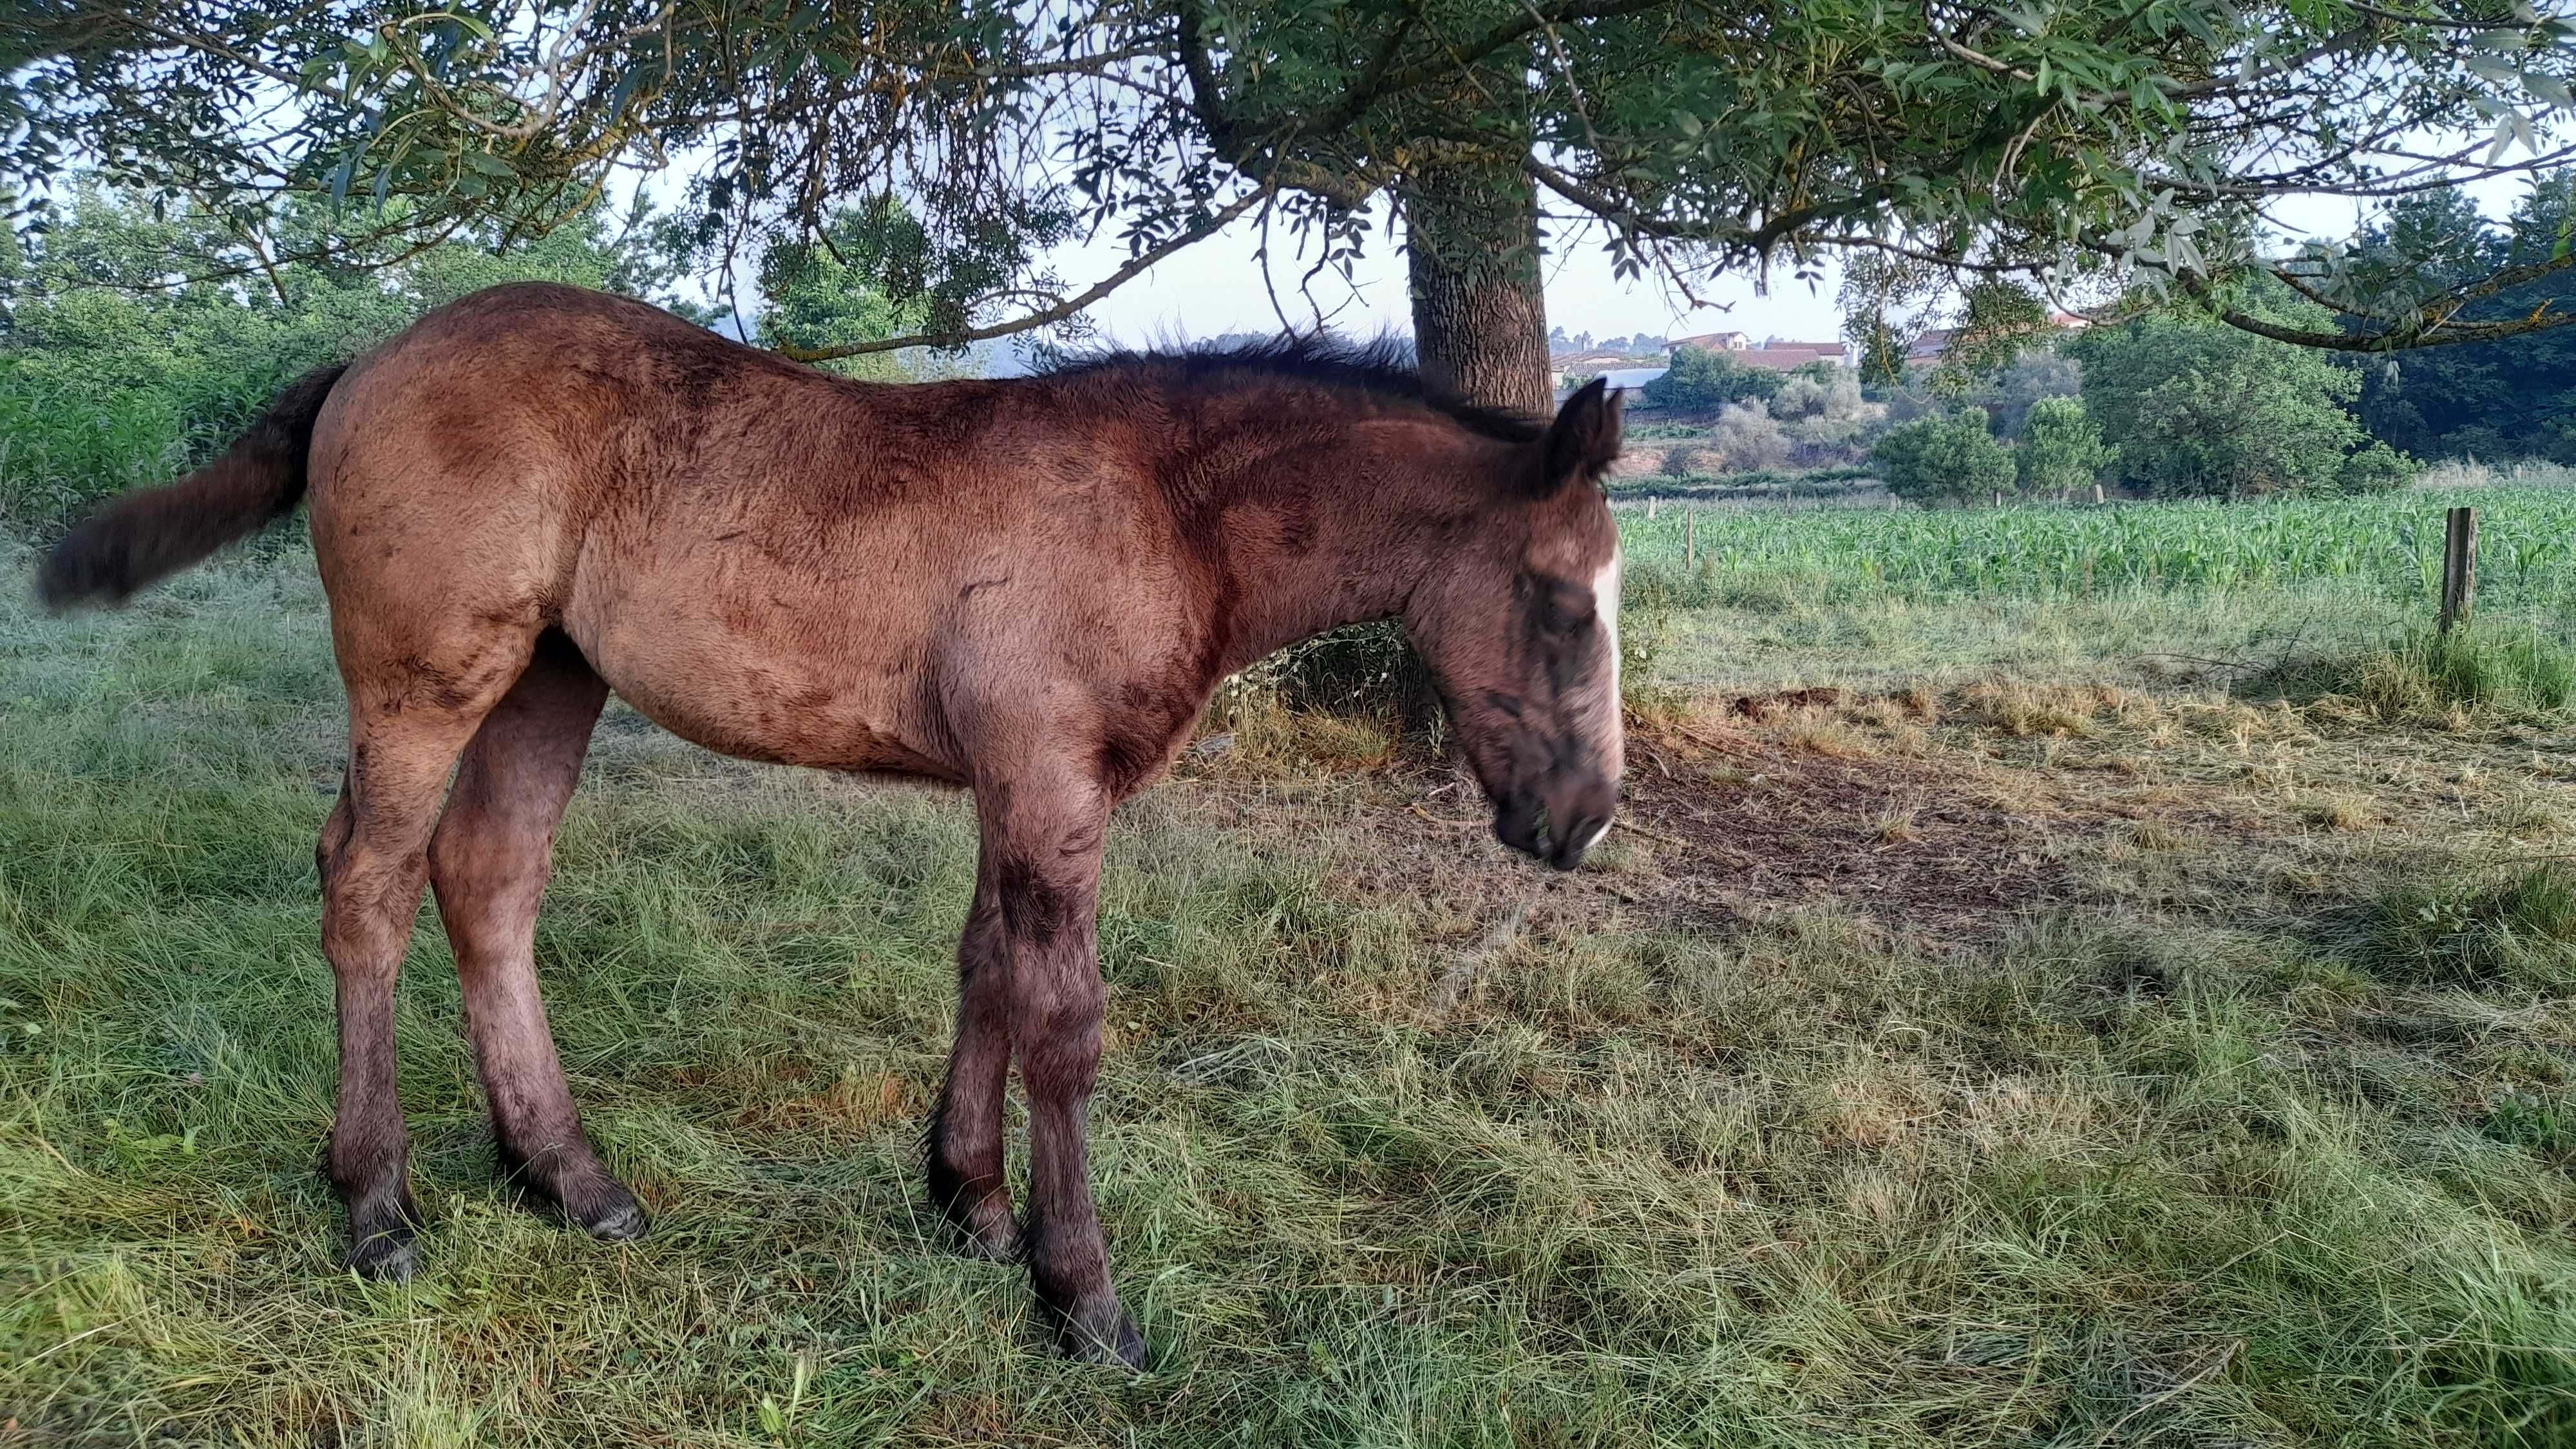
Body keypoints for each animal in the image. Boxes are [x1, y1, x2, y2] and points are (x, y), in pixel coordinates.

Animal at [40, 282, 1618, 1361]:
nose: (1583, 824)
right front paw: (1081, 1294)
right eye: (1558, 599)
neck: (1158, 509)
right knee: (365, 883)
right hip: (426, 676)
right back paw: (376, 1206)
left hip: (550, 678)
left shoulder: (1017, 784)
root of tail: (367, 360)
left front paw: (968, 1204)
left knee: (487, 880)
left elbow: (985, 971)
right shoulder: (1049, 780)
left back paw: (570, 1179)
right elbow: (1064, 1022)